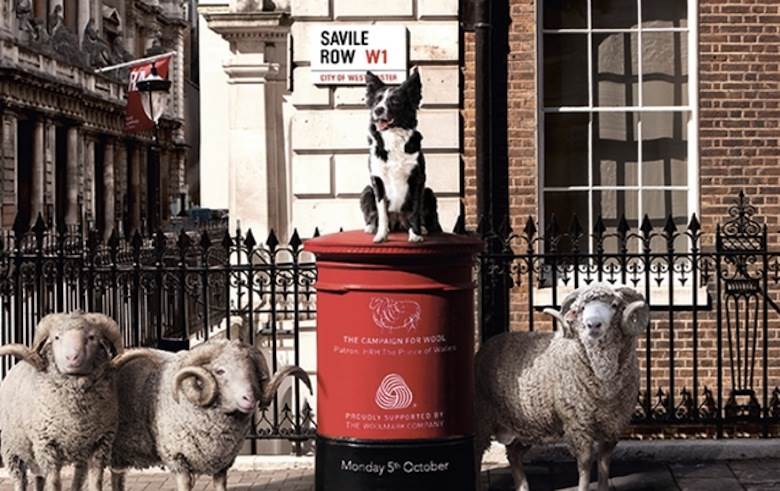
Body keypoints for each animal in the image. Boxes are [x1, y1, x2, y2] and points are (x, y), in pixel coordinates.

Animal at [0, 311, 153, 491]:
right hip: (11, 450)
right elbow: (54, 483)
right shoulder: (47, 446)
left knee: (57, 478)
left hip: (74, 456)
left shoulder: (100, 445)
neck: (76, 417)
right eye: (56, 337)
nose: (72, 357)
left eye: (92, 337)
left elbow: (96, 482)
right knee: (20, 479)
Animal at [474, 284, 650, 491]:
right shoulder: (578, 423)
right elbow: (585, 463)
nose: (593, 325)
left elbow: (604, 462)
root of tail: (487, 344)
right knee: (477, 454)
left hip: (526, 426)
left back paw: (523, 486)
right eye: (581, 308)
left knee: (514, 454)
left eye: (615, 305)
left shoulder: (613, 425)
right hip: (482, 418)